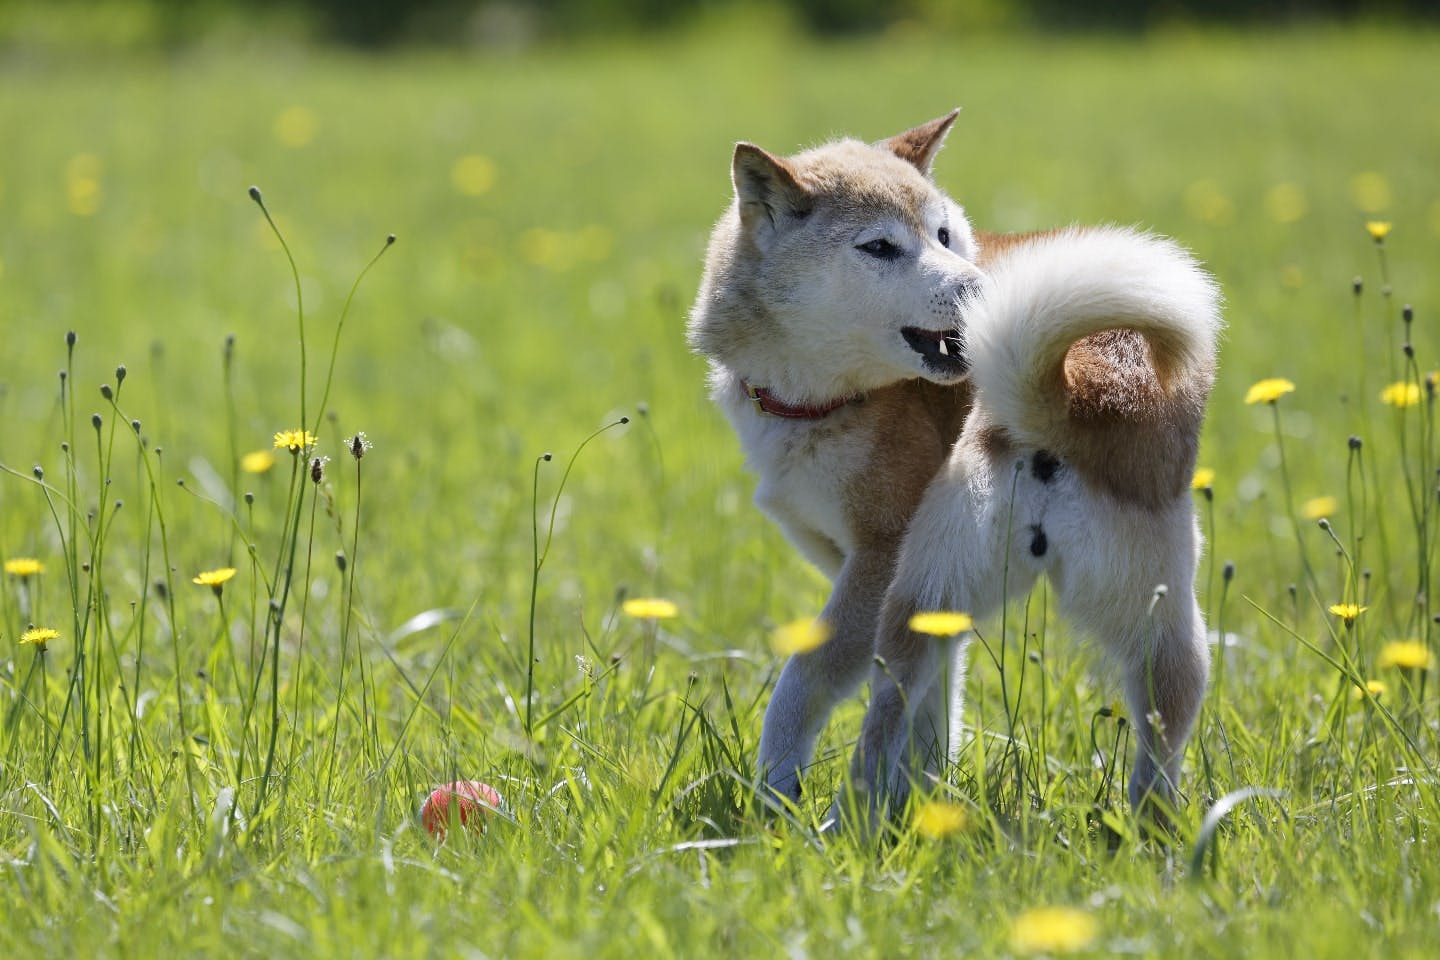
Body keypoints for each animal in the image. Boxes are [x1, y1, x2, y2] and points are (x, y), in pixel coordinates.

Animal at [685, 112, 1215, 829]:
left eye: (941, 236)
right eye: (880, 247)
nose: (983, 289)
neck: (830, 399)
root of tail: (1076, 388)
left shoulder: (877, 563)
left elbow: (808, 682)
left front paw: (778, 789)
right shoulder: (928, 602)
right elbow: (937, 715)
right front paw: (926, 802)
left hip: (918, 588)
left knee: (878, 719)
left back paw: (842, 824)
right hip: (1147, 615)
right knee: (1163, 730)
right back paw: (1147, 828)